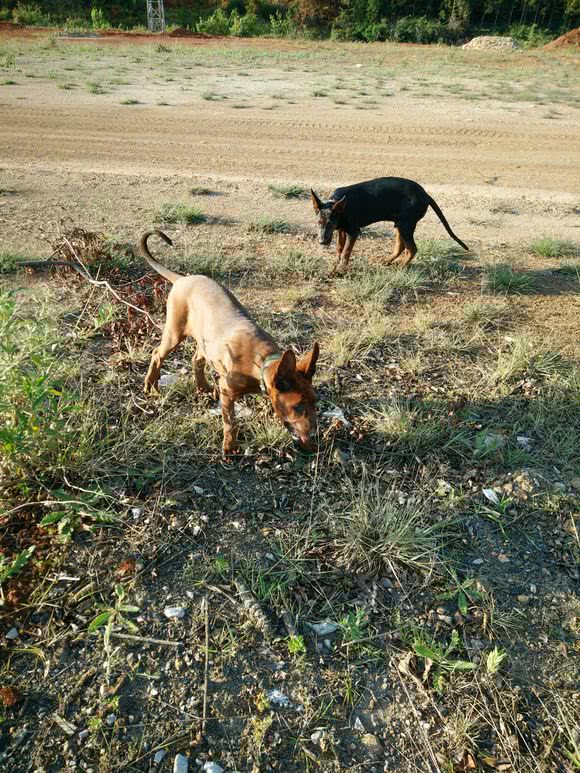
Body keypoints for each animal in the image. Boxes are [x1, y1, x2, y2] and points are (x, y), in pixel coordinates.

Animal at [140, 231, 322, 458]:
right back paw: (150, 384)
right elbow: (230, 422)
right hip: (174, 332)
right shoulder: (227, 390)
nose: (314, 436)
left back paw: (203, 387)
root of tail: (183, 278)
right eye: (297, 407)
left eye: (315, 402)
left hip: (206, 340)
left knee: (196, 359)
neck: (260, 362)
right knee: (157, 354)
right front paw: (230, 446)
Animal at [310, 176, 468, 276]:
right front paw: (334, 266)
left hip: (405, 225)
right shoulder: (342, 230)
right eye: (318, 223)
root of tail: (426, 195)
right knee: (401, 247)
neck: (338, 206)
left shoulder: (353, 231)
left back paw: (402, 266)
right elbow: (339, 250)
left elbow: (345, 253)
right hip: (400, 224)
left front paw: (340, 270)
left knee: (412, 249)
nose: (322, 242)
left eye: (331, 224)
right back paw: (388, 260)